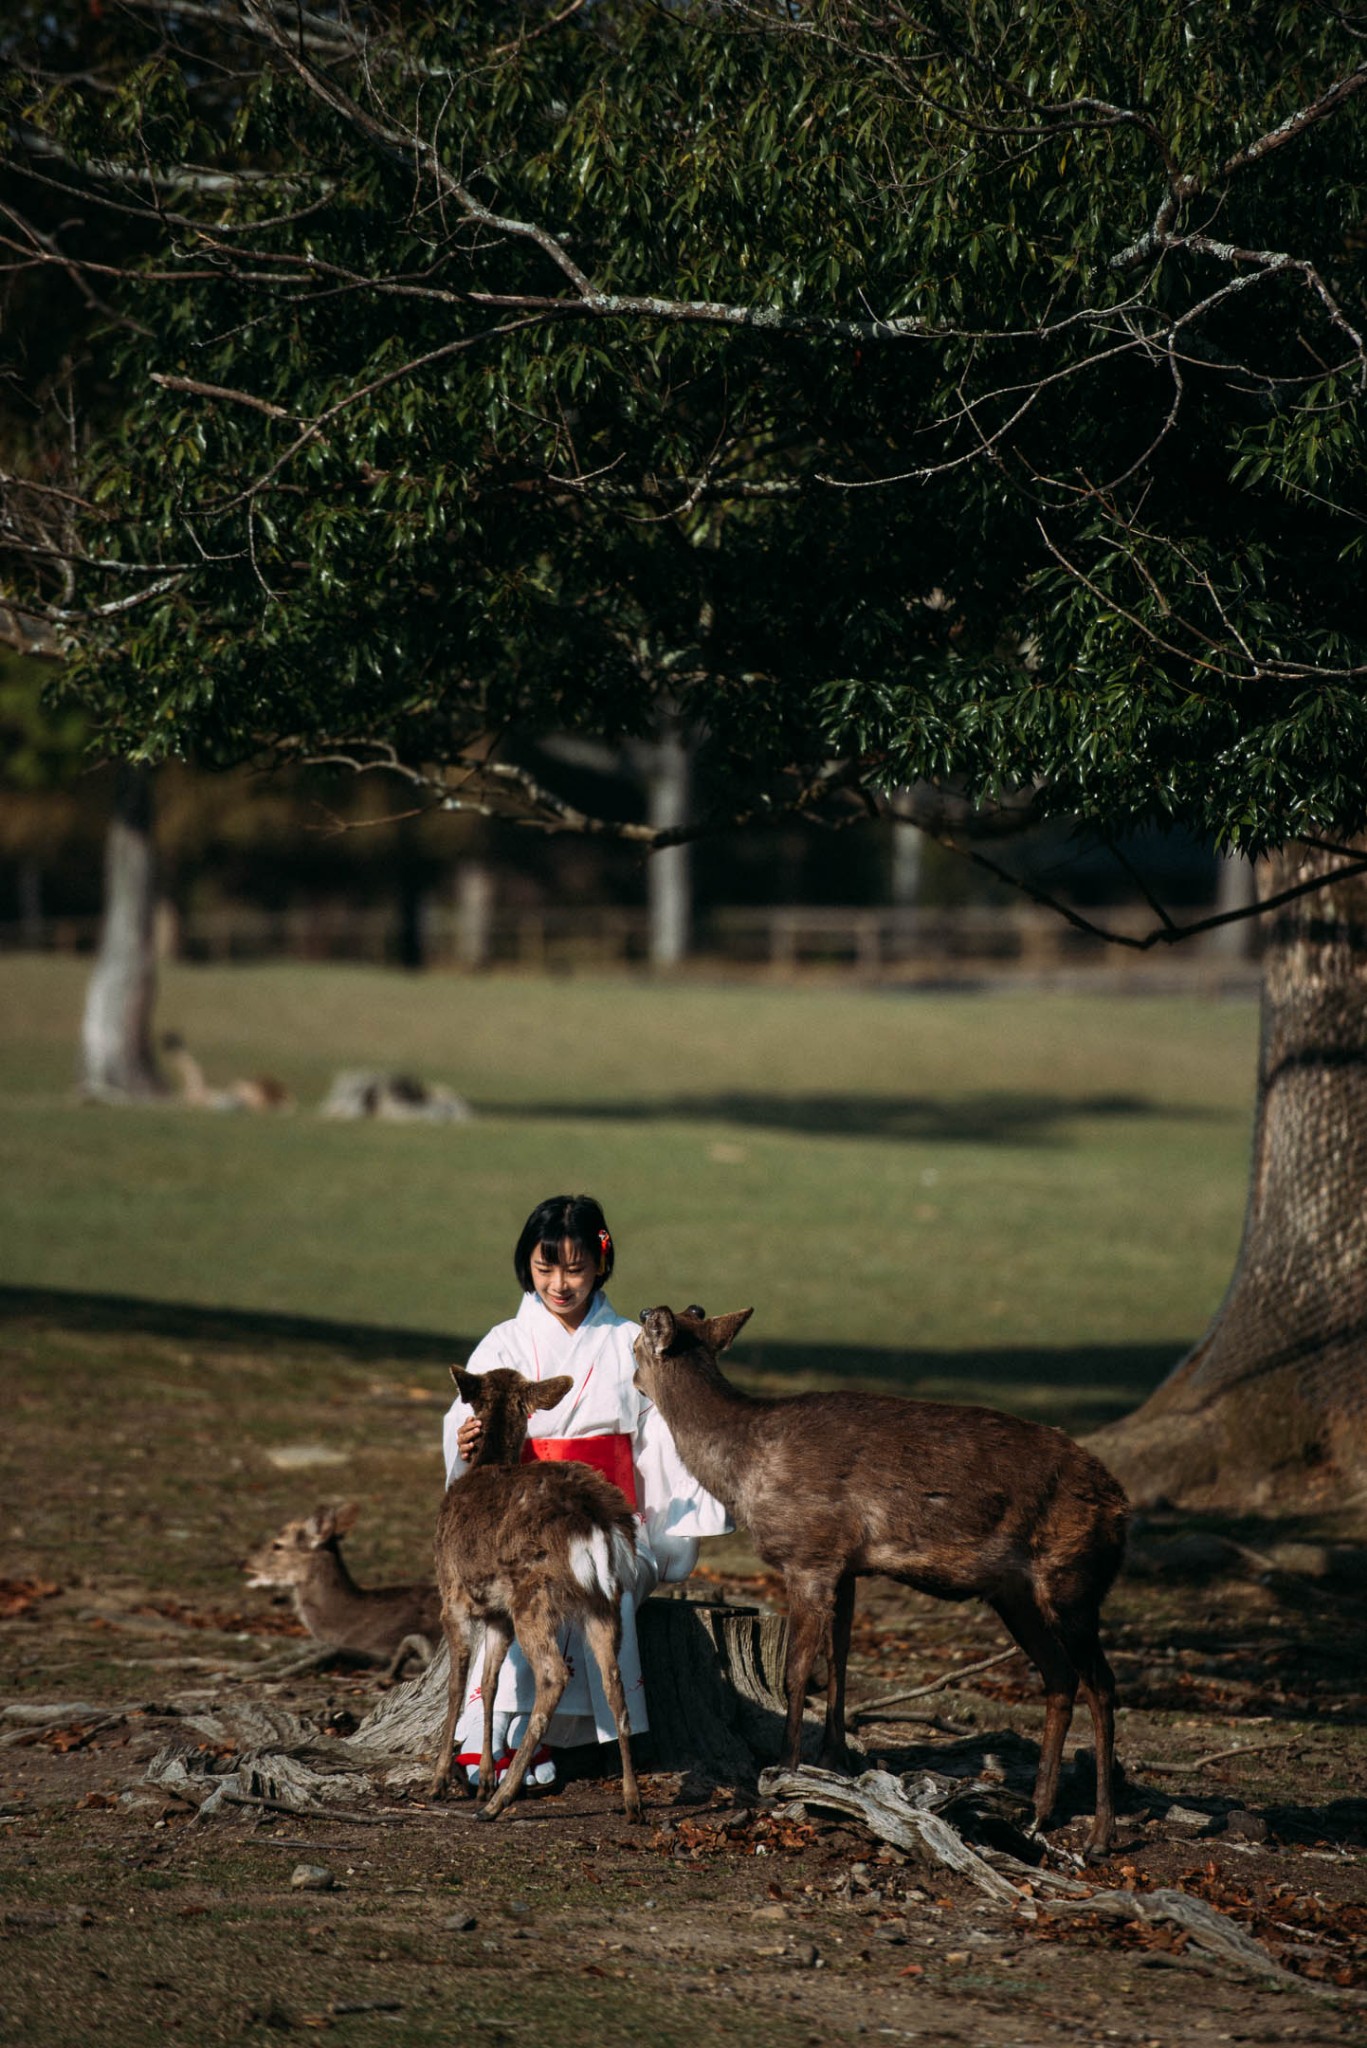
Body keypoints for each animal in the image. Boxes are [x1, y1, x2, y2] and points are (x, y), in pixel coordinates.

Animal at [428, 1368, 643, 1818]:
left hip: (535, 1596)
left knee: (553, 1675)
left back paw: (499, 1801)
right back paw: (632, 1801)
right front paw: (483, 1777)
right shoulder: (497, 1613)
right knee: (614, 1682)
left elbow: (457, 1687)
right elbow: (489, 1684)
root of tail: (596, 1523)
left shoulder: (453, 1597)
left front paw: (440, 1781)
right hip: (603, 1600)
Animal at [635, 1310, 1131, 1859]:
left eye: (636, 1339)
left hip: (1072, 1579)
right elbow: (839, 1662)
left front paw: (785, 1775)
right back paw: (1038, 1813)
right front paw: (835, 1763)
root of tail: (1121, 1506)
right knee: (1060, 1677)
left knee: (1102, 1684)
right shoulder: (847, 1565)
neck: (744, 1471)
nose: (632, 1378)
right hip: (1015, 1592)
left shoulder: (809, 1553)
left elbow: (796, 1672)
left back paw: (1101, 1835)